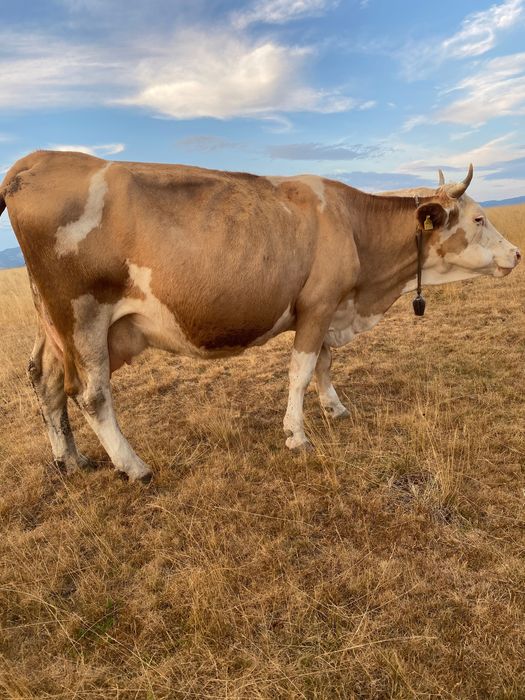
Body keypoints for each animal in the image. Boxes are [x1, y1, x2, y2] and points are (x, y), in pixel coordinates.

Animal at [0, 151, 520, 482]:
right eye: (478, 218)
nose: (516, 253)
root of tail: (36, 160)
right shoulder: (317, 306)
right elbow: (301, 371)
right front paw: (297, 435)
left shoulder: (328, 306)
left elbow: (325, 363)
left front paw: (334, 408)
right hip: (82, 314)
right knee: (91, 395)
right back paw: (134, 467)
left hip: (54, 322)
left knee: (44, 379)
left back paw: (70, 460)